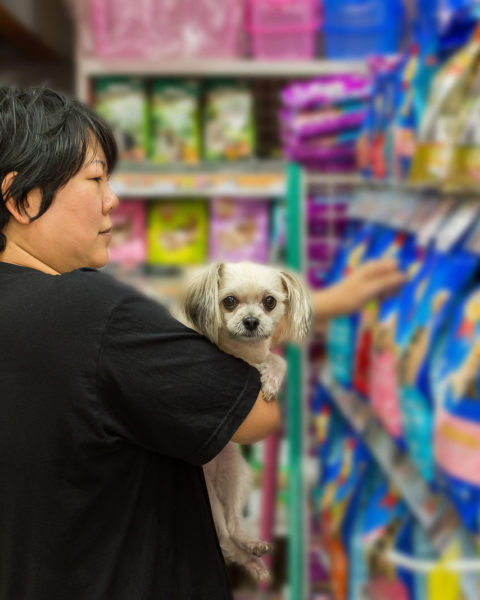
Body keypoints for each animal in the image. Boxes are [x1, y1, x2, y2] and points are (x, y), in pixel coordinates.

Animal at [175, 262, 312, 580]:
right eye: (229, 301)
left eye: (270, 302)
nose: (251, 321)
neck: (242, 352)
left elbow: (277, 360)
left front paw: (271, 380)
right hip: (211, 500)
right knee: (225, 536)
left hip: (235, 474)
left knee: (234, 525)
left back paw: (253, 552)